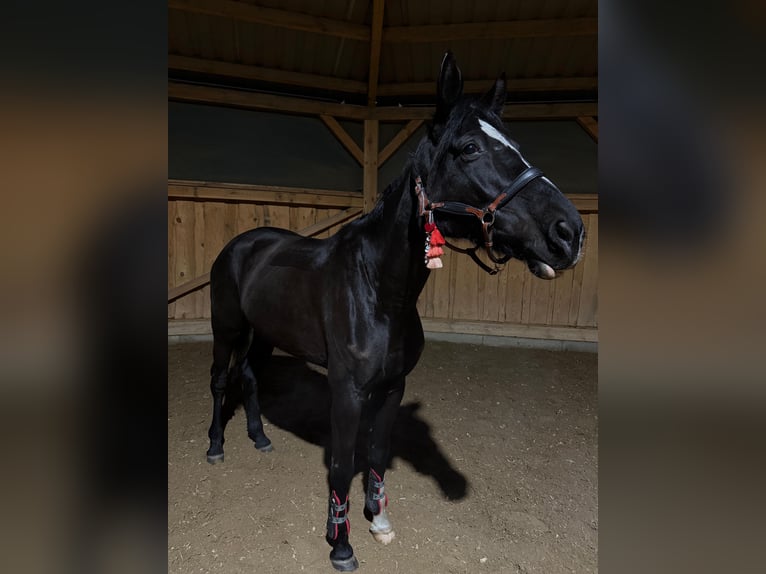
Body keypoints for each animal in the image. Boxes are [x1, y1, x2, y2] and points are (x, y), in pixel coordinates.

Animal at [205, 52, 585, 571]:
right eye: (469, 148)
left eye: (518, 146)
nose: (569, 232)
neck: (379, 291)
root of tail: (241, 244)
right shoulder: (347, 391)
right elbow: (341, 463)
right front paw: (341, 544)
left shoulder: (392, 386)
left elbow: (378, 451)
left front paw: (378, 519)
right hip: (226, 327)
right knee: (221, 379)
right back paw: (215, 446)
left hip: (264, 334)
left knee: (249, 376)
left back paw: (260, 437)